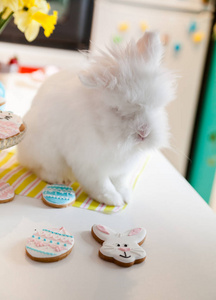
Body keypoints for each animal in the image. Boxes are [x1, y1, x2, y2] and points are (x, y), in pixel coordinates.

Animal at [17, 32, 176, 206]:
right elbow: (102, 185)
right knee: (40, 169)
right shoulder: (90, 165)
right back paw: (59, 179)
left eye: (156, 106)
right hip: (46, 154)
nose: (144, 134)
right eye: (116, 109)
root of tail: (21, 154)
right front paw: (114, 200)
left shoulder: (123, 169)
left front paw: (126, 196)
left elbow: (120, 182)